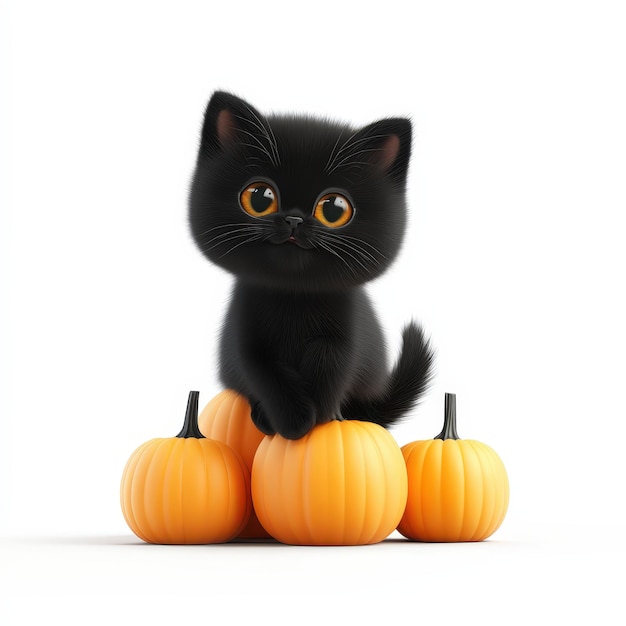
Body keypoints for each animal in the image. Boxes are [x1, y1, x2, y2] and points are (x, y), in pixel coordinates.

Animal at [188, 91, 434, 438]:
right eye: (259, 198)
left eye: (334, 209)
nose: (294, 219)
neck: (295, 298)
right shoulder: (246, 340)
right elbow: (265, 373)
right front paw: (293, 422)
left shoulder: (346, 335)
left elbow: (330, 360)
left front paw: (320, 417)